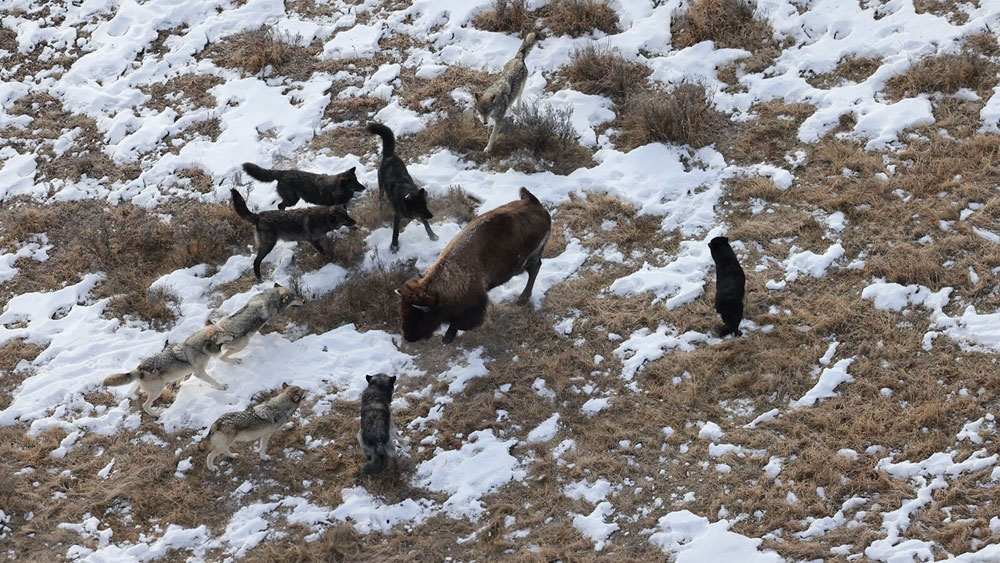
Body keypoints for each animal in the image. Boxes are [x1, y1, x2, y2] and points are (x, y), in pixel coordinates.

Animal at [103, 320, 234, 416]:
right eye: (224, 334)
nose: (233, 335)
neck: (198, 348)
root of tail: (140, 368)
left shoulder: (186, 372)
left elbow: (180, 379)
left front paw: (179, 385)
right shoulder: (199, 373)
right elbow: (213, 380)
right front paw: (221, 386)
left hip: (150, 387)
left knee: (136, 391)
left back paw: (139, 395)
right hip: (158, 390)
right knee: (145, 405)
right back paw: (156, 414)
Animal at [364, 121, 434, 253]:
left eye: (425, 205)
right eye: (419, 207)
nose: (432, 216)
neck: (406, 198)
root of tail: (389, 155)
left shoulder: (422, 214)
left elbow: (426, 224)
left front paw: (432, 235)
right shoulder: (397, 215)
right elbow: (395, 232)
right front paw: (394, 245)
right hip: (381, 185)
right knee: (381, 197)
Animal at [394, 188, 552, 344]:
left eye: (420, 317)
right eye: (402, 311)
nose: (408, 337)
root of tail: (533, 203)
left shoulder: (475, 305)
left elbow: (459, 323)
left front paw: (447, 337)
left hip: (530, 258)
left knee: (534, 270)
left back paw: (522, 299)